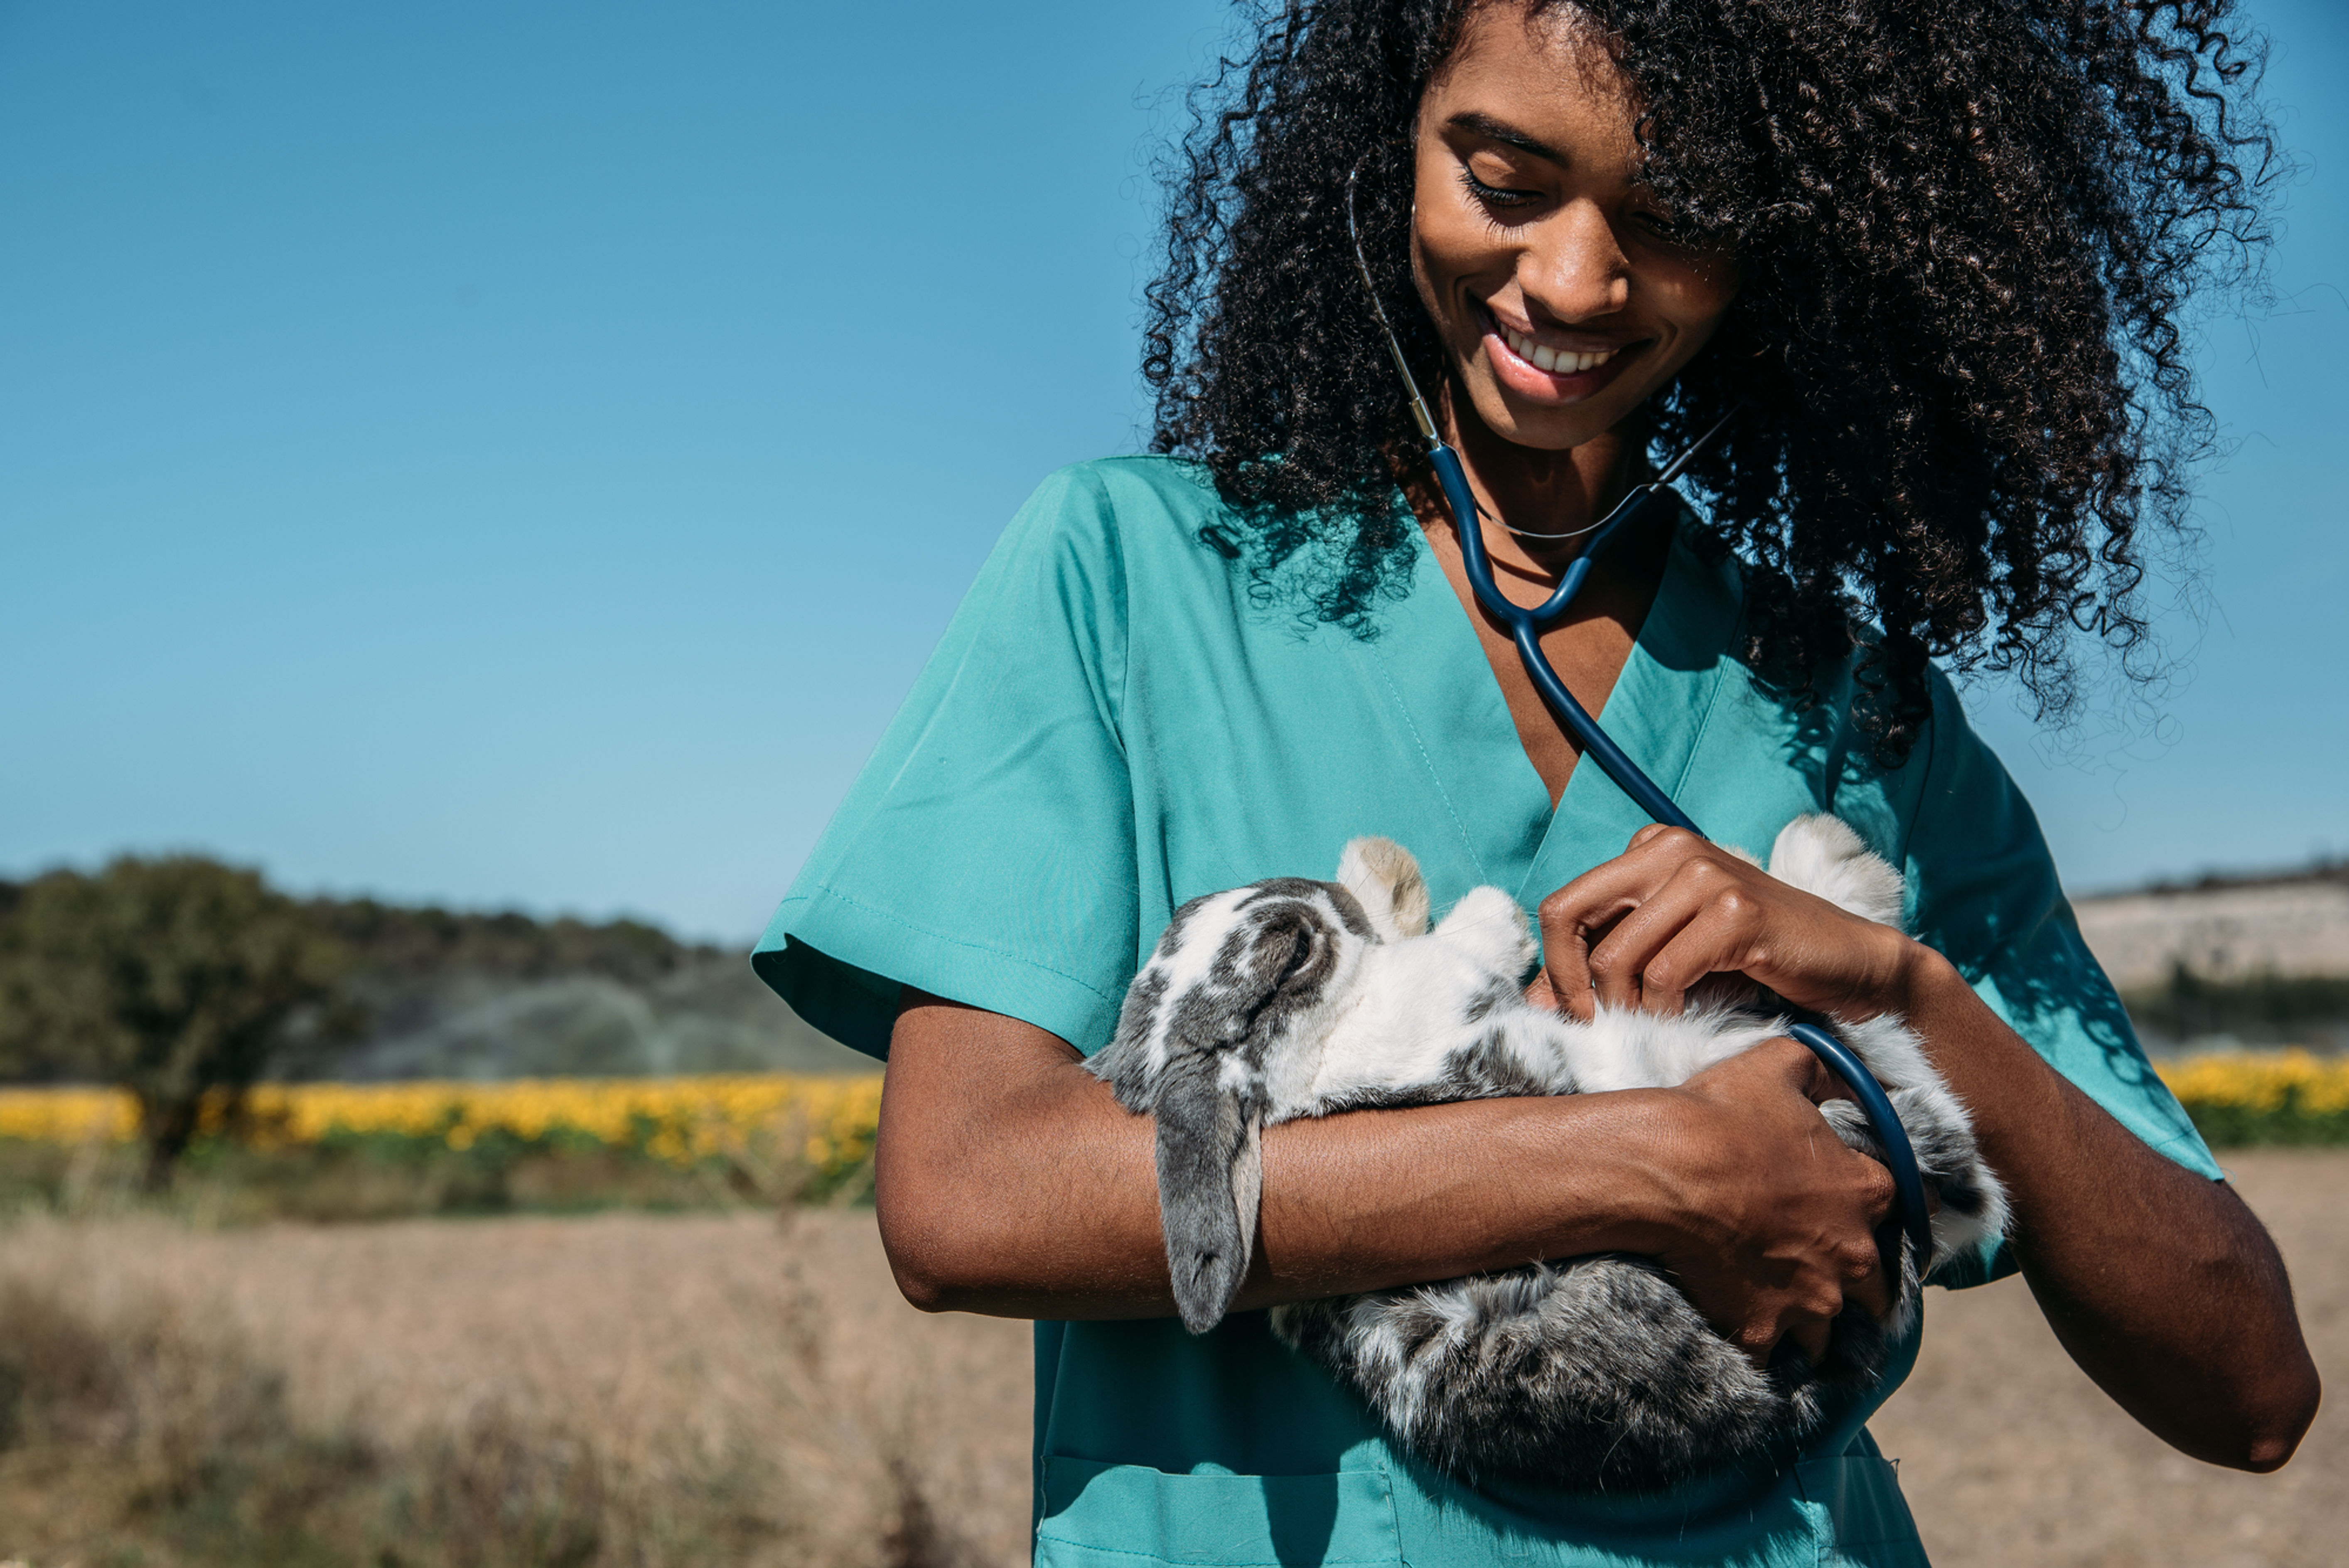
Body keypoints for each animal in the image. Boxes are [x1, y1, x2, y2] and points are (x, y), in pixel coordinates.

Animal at [1088, 814, 2007, 1492]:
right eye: (1290, 951)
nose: (1326, 894)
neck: (1310, 1066)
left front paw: (1379, 871)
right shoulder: (1446, 999)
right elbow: (1458, 944)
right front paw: (1427, 888)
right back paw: (1835, 858)